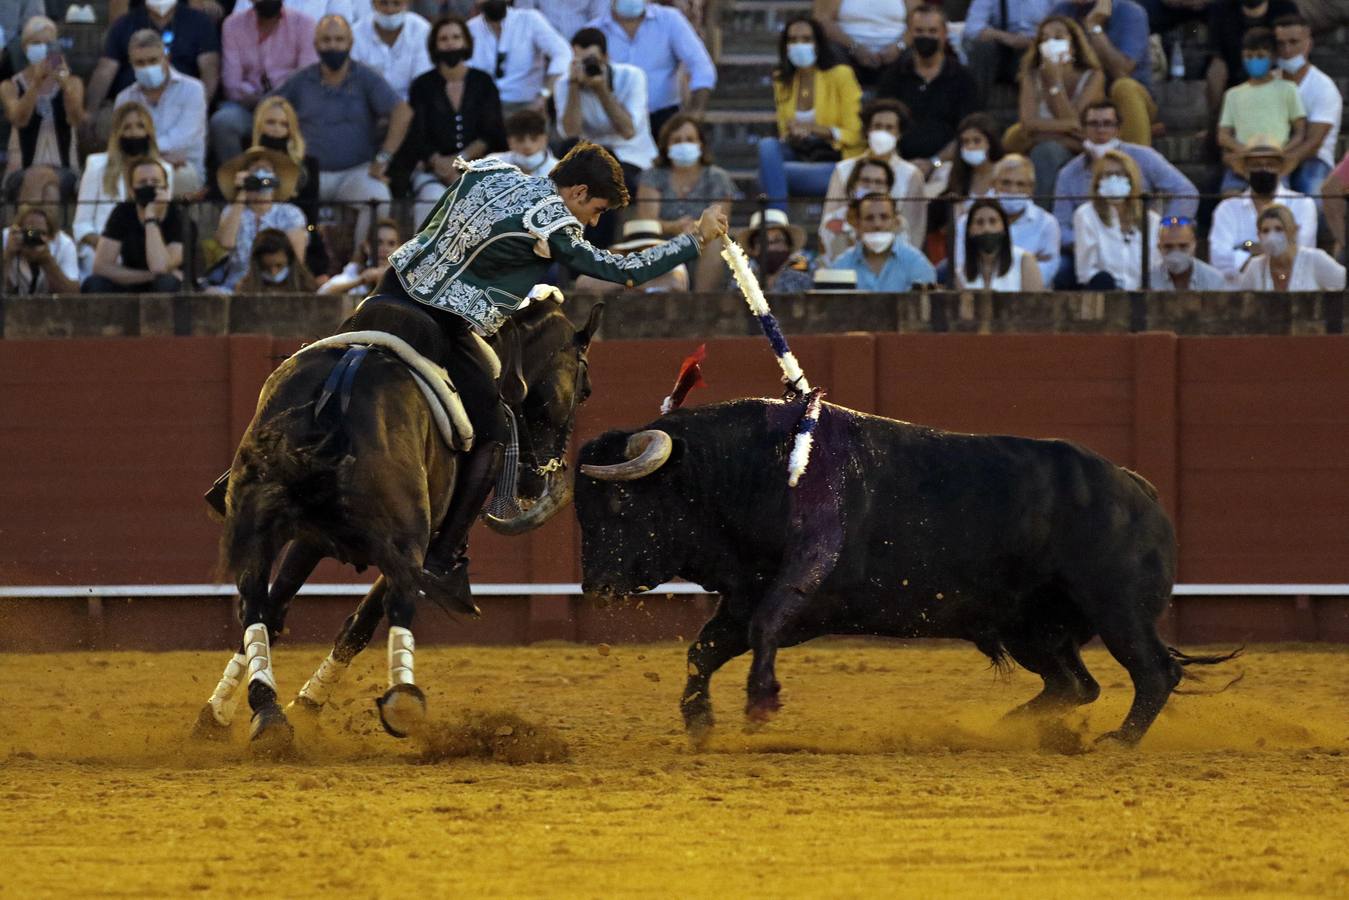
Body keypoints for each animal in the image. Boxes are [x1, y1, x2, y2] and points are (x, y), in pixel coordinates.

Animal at [577, 402, 1235, 744]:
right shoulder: (742, 596)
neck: (750, 472)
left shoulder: (800, 593)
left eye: (622, 503)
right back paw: (1005, 728)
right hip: (1032, 629)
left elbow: (757, 632)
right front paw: (699, 723)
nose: (594, 588)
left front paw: (759, 703)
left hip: (1117, 610)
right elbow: (703, 650)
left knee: (1153, 672)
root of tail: (1138, 487)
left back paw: (1115, 742)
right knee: (1076, 684)